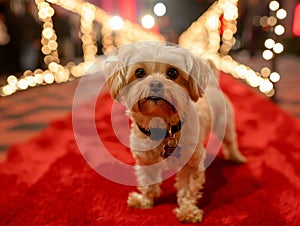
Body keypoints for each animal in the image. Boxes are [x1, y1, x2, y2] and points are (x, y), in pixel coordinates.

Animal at [104, 42, 245, 222]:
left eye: (173, 72)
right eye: (139, 72)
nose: (155, 84)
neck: (162, 127)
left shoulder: (192, 164)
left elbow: (187, 190)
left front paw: (187, 211)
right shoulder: (145, 161)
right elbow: (147, 181)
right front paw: (144, 200)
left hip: (224, 127)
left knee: (231, 142)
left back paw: (237, 157)